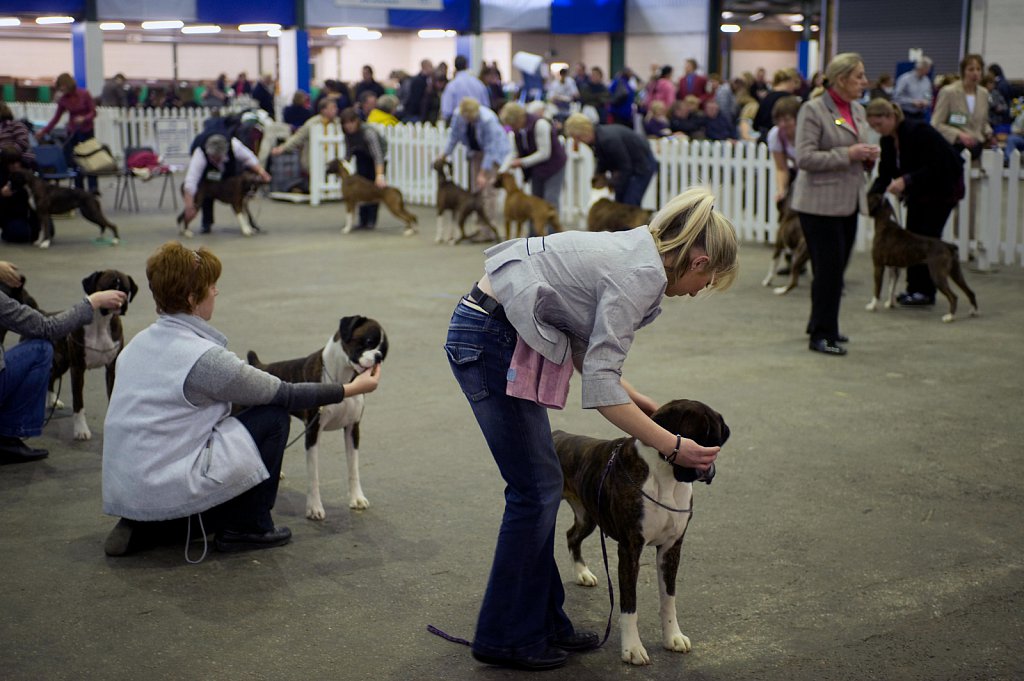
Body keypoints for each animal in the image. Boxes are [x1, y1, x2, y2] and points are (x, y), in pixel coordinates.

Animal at [49, 270, 138, 440]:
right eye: (108, 287)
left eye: (126, 290)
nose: (120, 299)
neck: (101, 322)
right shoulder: (77, 369)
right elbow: (78, 403)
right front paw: (81, 430)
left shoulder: (112, 368)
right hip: (61, 361)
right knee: (50, 377)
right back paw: (51, 401)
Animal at [246, 315, 387, 518]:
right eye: (369, 341)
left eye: (384, 349)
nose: (379, 356)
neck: (342, 380)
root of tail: (259, 366)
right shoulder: (313, 432)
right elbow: (314, 476)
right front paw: (314, 508)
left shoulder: (352, 429)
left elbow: (353, 468)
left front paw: (356, 498)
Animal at [552, 399, 729, 663]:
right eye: (694, 440)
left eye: (715, 443)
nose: (706, 468)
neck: (666, 476)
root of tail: (558, 433)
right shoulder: (630, 549)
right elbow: (629, 604)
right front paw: (632, 648)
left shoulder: (671, 548)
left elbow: (668, 599)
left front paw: (673, 637)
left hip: (588, 516)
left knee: (572, 535)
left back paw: (582, 573)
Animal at [868, 189, 978, 319]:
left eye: (867, 197)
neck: (885, 224)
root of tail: (948, 245)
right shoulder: (894, 269)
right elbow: (891, 288)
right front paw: (890, 304)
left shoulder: (878, 266)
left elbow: (877, 288)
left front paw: (872, 305)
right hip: (956, 273)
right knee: (970, 292)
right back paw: (973, 311)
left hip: (937, 275)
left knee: (953, 296)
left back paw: (949, 317)